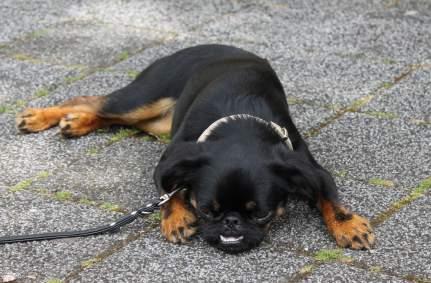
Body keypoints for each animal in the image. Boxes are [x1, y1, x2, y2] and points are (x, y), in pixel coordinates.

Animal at [16, 45, 374, 255]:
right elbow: (169, 189)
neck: (239, 123)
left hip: (155, 122)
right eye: (206, 210)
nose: (231, 223)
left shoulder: (308, 166)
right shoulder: (171, 160)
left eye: (261, 214)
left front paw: (347, 224)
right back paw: (42, 117)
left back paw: (76, 123)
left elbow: (328, 197)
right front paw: (176, 217)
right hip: (142, 99)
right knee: (93, 100)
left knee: (105, 113)